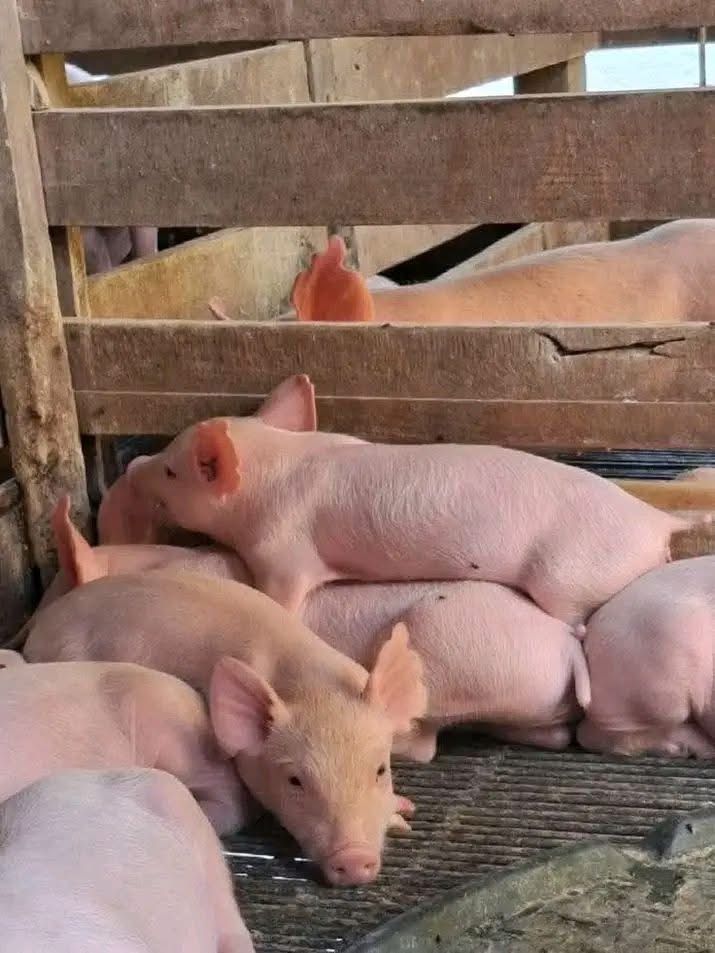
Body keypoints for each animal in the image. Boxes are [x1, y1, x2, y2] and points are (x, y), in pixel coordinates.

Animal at [101, 375, 697, 624]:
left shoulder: (285, 552)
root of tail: (656, 520)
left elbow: (279, 597)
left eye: (173, 469)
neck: (275, 473)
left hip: (569, 577)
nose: (133, 463)